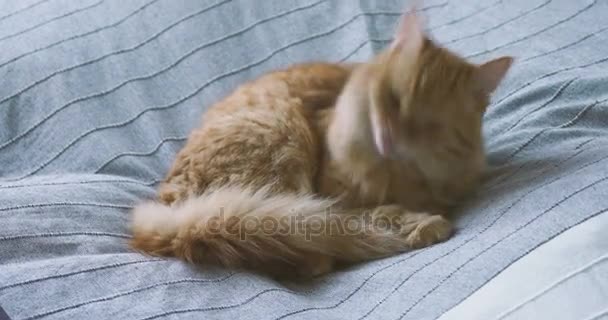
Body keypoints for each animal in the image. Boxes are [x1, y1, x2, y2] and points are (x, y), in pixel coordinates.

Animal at [129, 8, 512, 276]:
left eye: (430, 124)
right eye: (391, 99)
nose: (390, 137)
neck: (396, 174)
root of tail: (173, 215)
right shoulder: (332, 191)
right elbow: (368, 212)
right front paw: (421, 224)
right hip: (281, 136)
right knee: (309, 251)